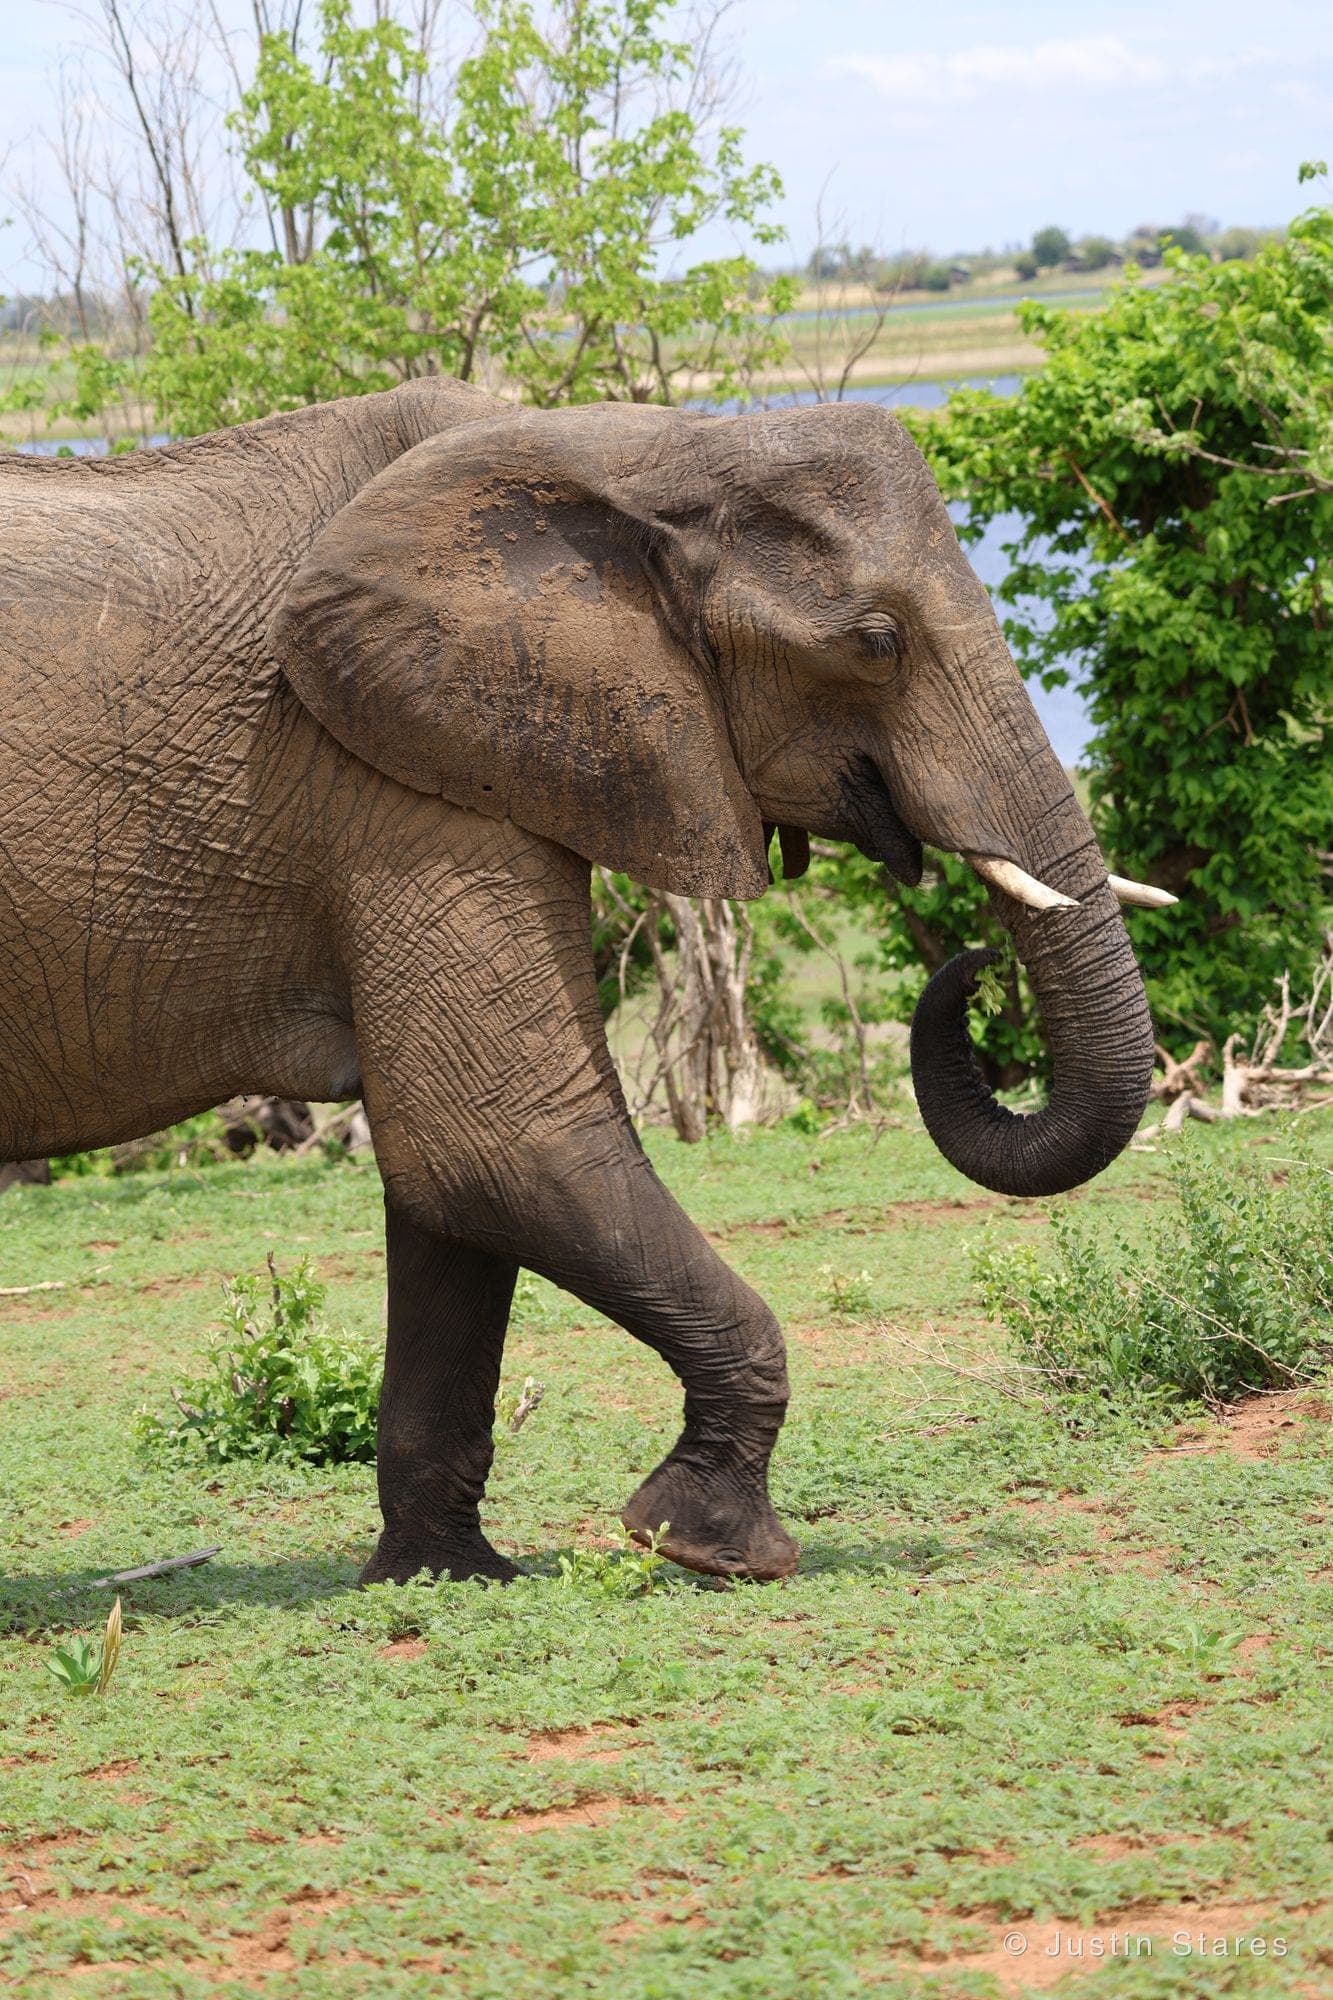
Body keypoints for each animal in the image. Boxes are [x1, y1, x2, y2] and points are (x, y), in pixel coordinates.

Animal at [0, 376, 1169, 1585]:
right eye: (877, 642)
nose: (974, 966)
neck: (646, 451)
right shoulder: (395, 783)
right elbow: (499, 1142)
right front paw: (709, 1545)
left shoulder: (453, 751)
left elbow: (455, 1198)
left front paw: (448, 1579)